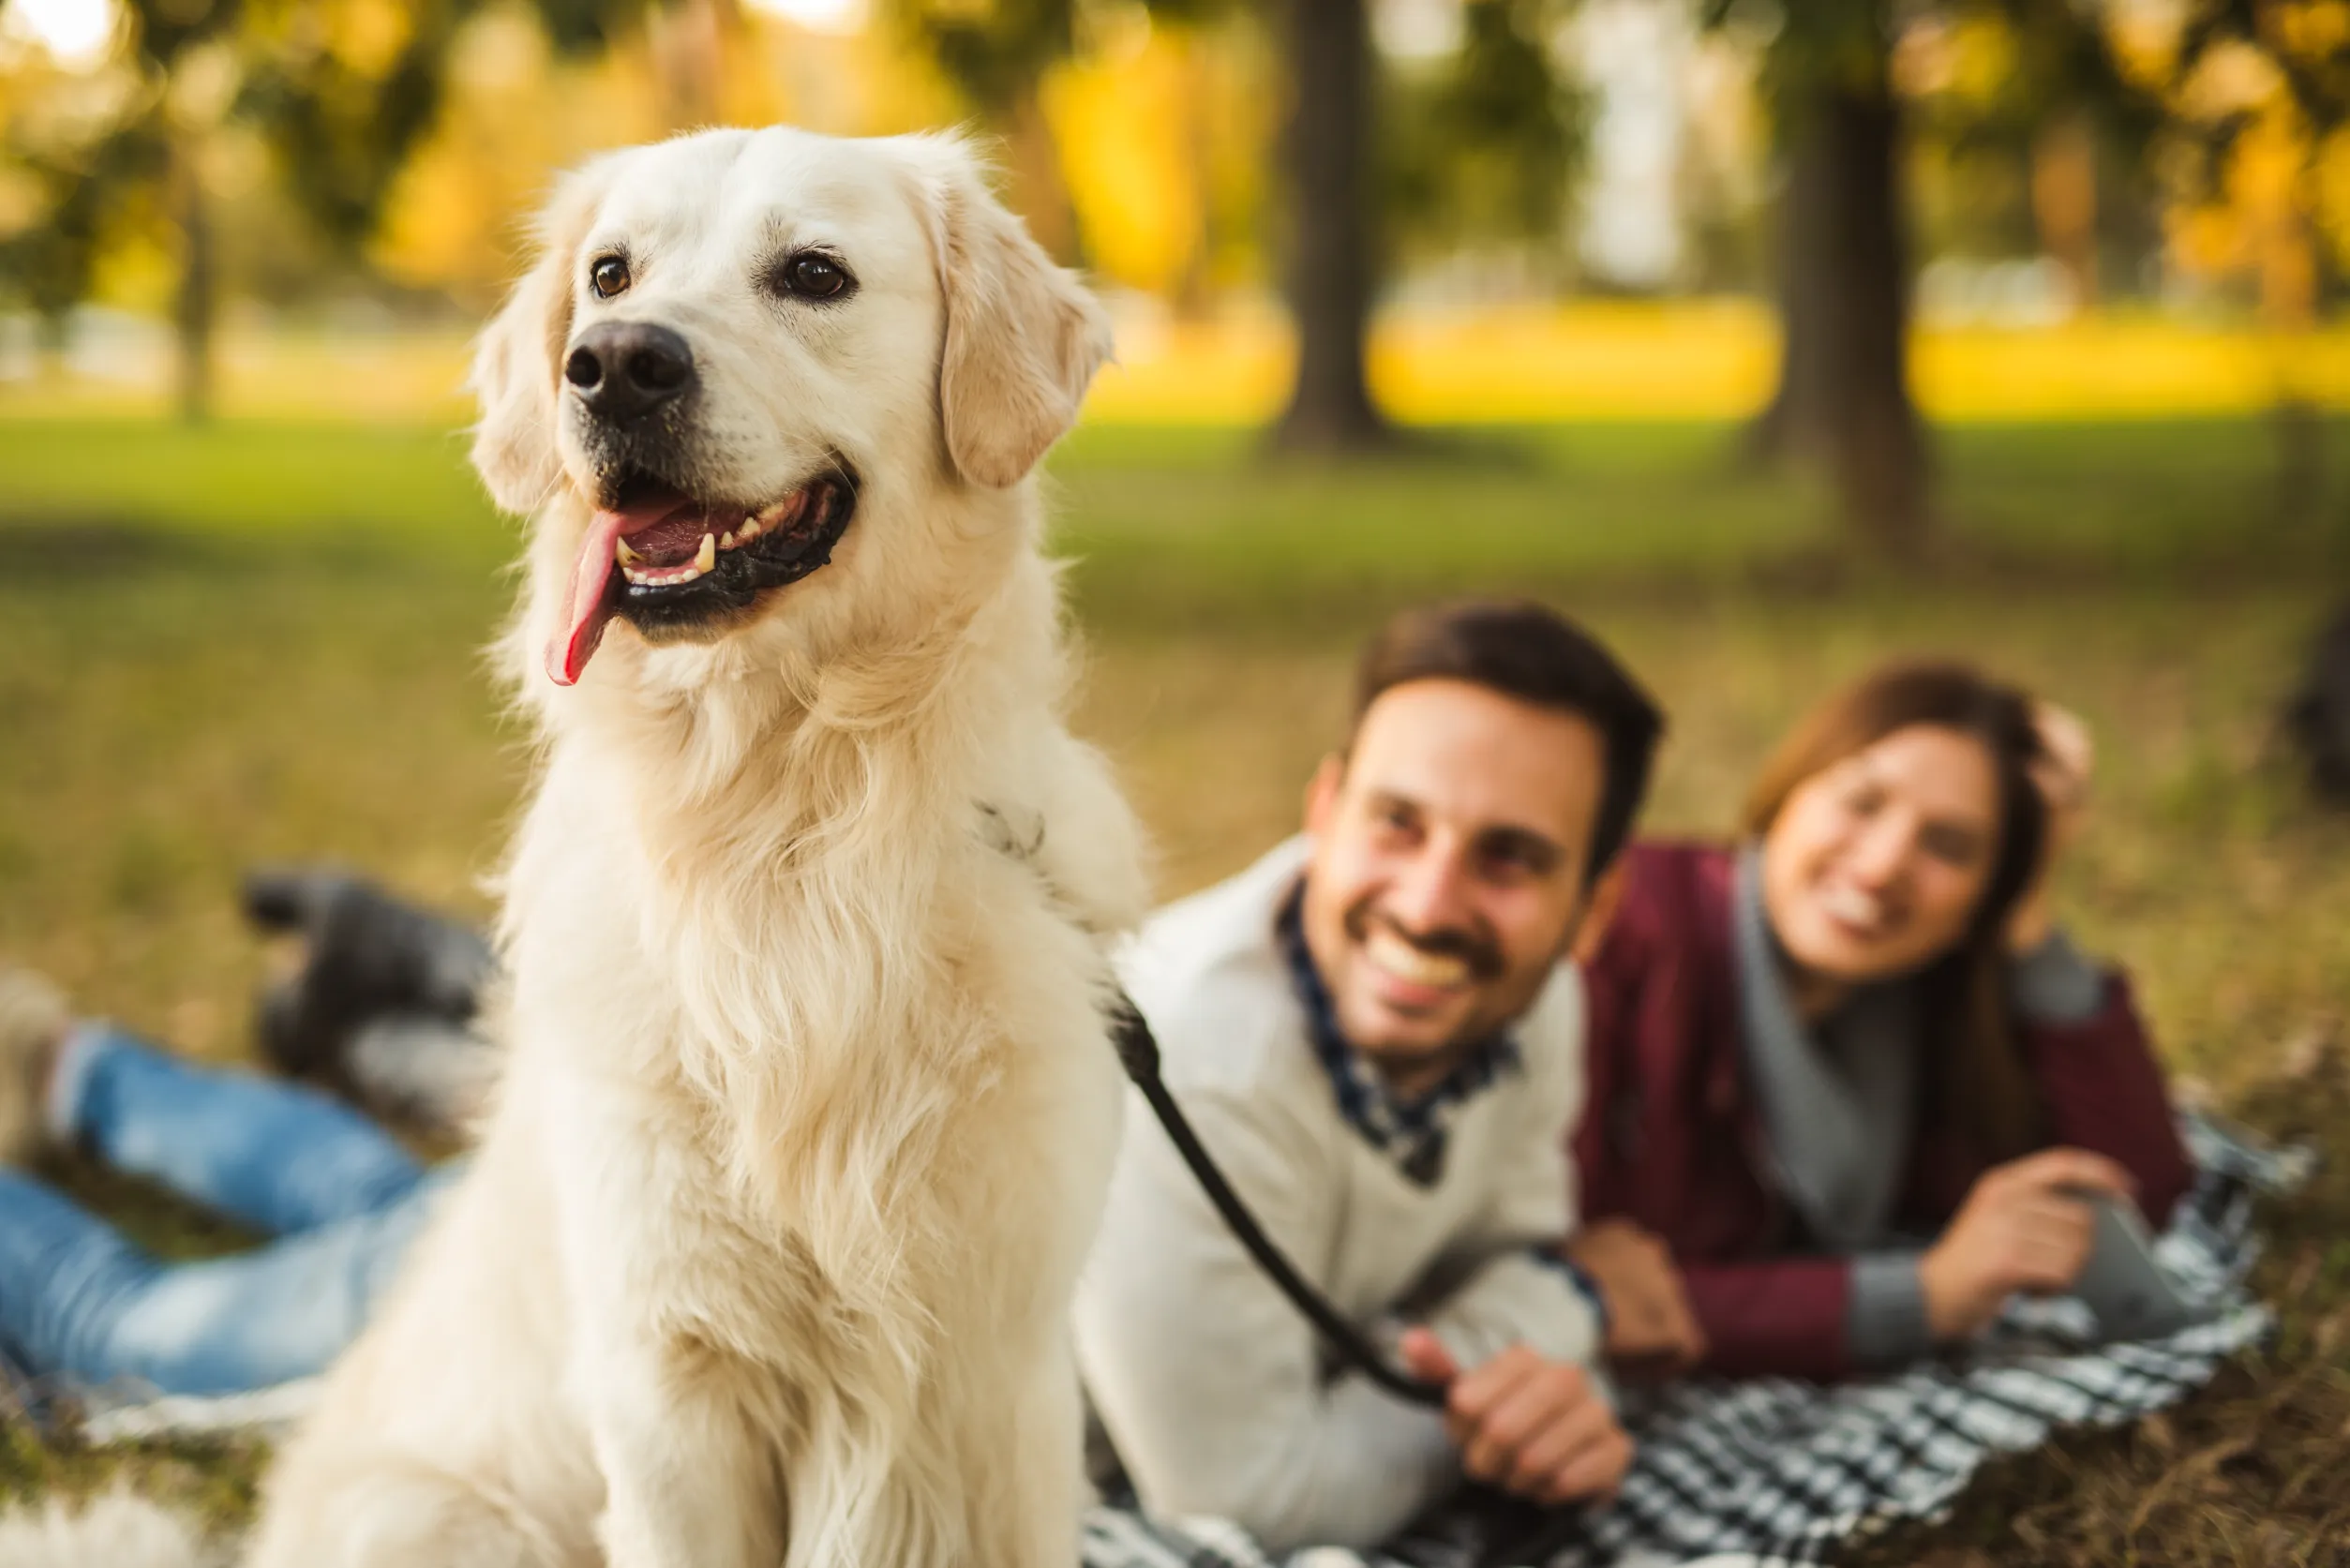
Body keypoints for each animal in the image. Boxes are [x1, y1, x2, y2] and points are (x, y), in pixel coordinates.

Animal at [7, 126, 1146, 1568]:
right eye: (609, 273)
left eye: (813, 273)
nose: (612, 363)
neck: (785, 818)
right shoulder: (672, 1374)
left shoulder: (997, 1381)